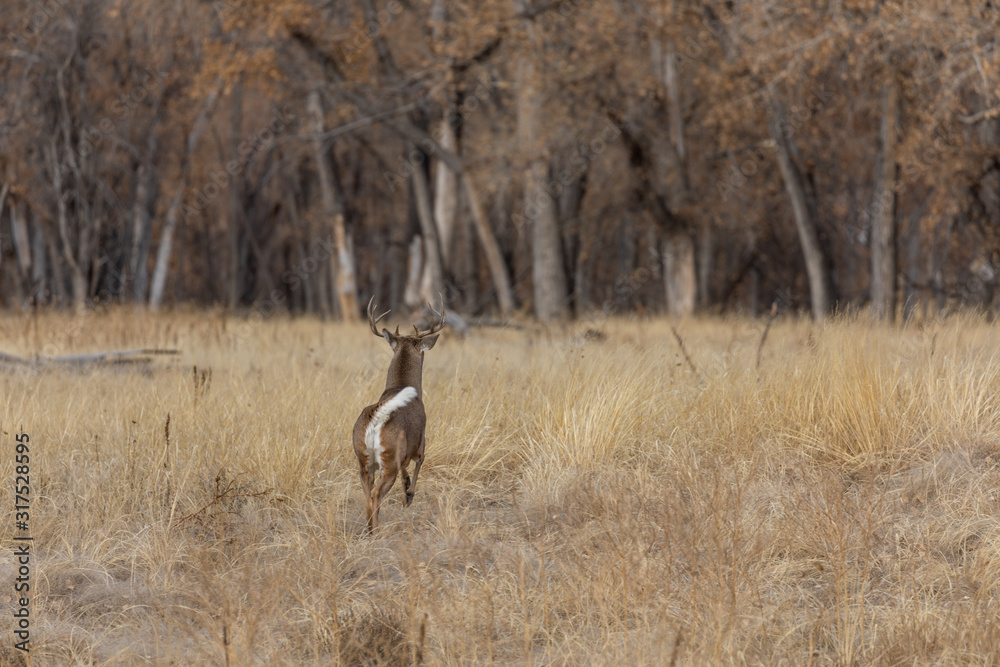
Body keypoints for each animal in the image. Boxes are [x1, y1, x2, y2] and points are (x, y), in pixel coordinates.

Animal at [352, 298, 446, 532]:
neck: (400, 386)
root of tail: (377, 417)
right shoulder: (420, 443)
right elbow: (418, 466)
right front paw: (409, 496)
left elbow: (406, 472)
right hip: (389, 458)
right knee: (376, 493)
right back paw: (377, 530)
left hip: (362, 458)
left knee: (367, 494)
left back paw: (371, 528)